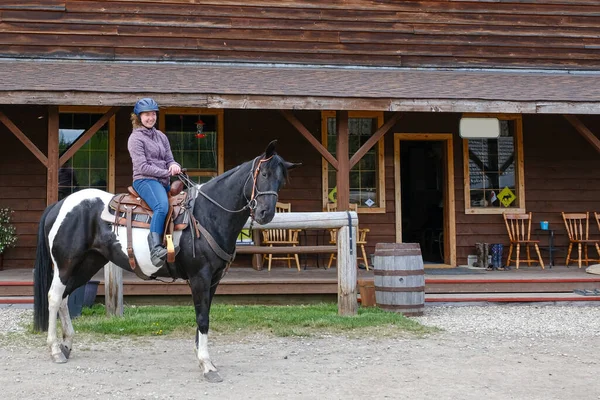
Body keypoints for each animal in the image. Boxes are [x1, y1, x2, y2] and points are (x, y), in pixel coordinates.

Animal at [32, 141, 300, 382]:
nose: (265, 213)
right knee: (55, 297)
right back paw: (55, 350)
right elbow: (203, 318)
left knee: (65, 297)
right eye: (263, 174)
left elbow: (204, 315)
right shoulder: (199, 278)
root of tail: (59, 204)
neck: (207, 214)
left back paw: (67, 345)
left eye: (281, 180)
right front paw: (207, 366)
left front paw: (203, 358)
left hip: (89, 263)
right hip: (66, 264)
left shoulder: (213, 280)